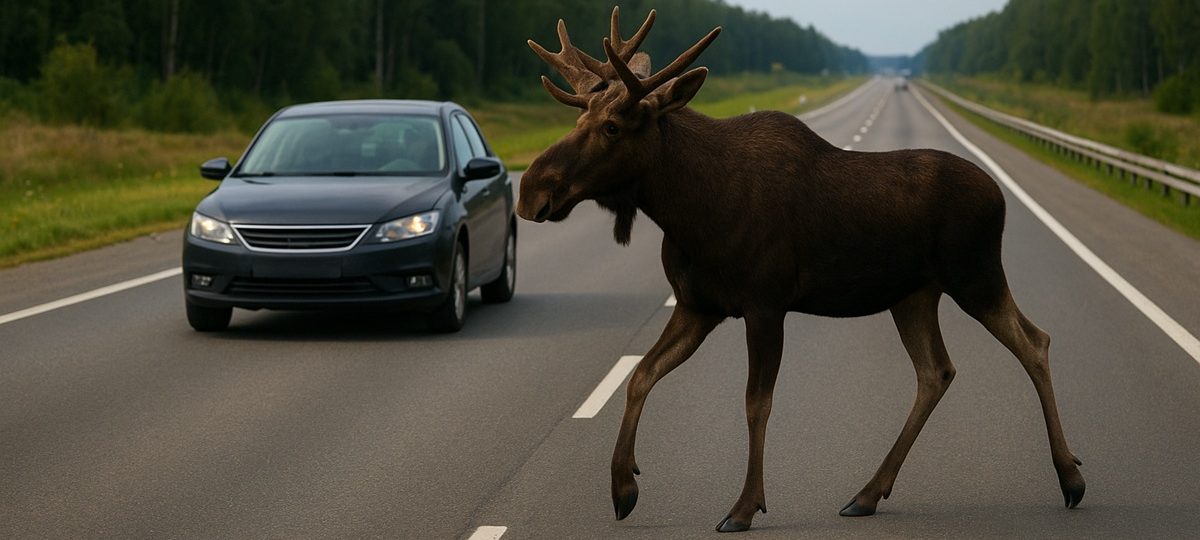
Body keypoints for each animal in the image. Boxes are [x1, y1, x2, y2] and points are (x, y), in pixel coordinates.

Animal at [518, 7, 1086, 533]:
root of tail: (1000, 196)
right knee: (936, 370)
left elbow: (756, 403)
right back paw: (867, 493)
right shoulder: (698, 306)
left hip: (976, 275)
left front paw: (743, 508)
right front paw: (623, 486)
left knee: (1034, 341)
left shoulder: (765, 305)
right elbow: (640, 375)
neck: (689, 208)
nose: (530, 191)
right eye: (577, 120)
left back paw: (1071, 477)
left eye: (612, 126)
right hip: (914, 295)